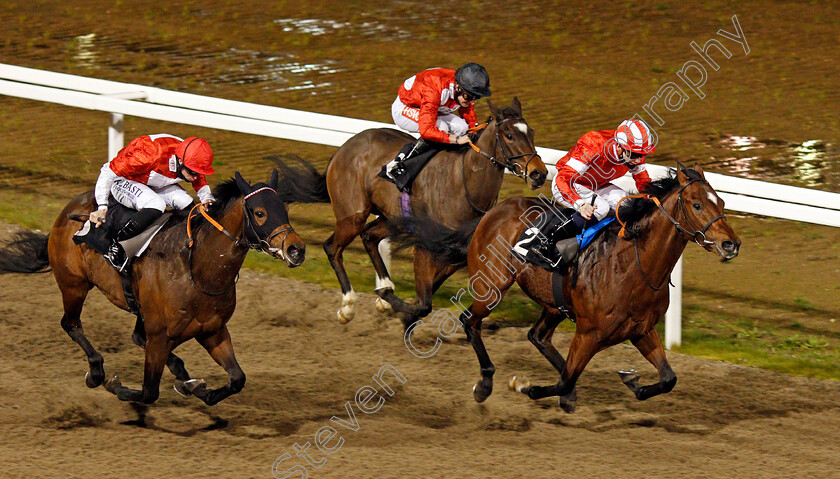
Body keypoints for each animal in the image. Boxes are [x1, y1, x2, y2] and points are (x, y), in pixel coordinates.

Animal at [0, 172, 306, 404]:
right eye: (260, 212)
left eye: (285, 209)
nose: (297, 250)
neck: (196, 269)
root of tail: (66, 212)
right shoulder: (160, 335)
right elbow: (148, 392)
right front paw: (115, 385)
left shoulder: (213, 331)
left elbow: (237, 379)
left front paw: (196, 387)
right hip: (74, 284)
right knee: (71, 324)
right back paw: (97, 372)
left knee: (136, 336)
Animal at [272, 97, 548, 330]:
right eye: (509, 135)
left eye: (532, 133)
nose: (539, 173)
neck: (464, 181)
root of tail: (343, 148)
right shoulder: (426, 244)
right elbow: (425, 303)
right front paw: (400, 310)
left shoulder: (456, 250)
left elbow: (428, 292)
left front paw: (396, 306)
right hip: (353, 215)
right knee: (333, 247)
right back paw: (348, 306)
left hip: (393, 218)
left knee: (369, 237)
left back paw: (384, 290)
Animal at [390, 165, 740, 412]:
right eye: (696, 205)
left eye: (722, 201)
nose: (731, 244)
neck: (633, 264)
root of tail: (494, 211)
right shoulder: (588, 334)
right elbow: (564, 379)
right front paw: (524, 386)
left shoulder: (641, 329)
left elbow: (668, 379)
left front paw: (633, 382)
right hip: (492, 284)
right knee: (470, 322)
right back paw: (485, 382)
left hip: (553, 304)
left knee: (537, 336)